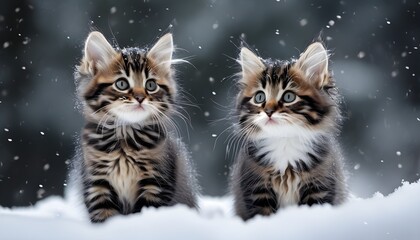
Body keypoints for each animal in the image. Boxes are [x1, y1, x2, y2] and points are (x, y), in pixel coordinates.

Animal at [71, 31, 198, 223]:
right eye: (122, 84)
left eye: (150, 85)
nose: (140, 97)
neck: (125, 136)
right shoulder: (97, 185)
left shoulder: (156, 183)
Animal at [230, 41, 348, 221]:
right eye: (259, 97)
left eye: (288, 97)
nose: (268, 111)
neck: (284, 141)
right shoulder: (255, 188)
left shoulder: (321, 185)